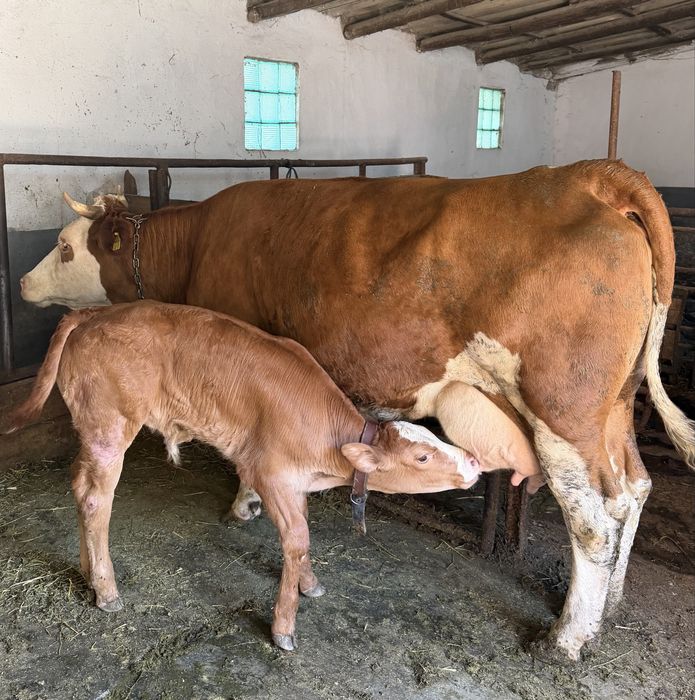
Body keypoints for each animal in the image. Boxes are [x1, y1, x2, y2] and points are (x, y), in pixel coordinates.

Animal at [5, 300, 481, 651]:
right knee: (95, 499)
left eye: (432, 436)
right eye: (422, 456)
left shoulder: (296, 482)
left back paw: (88, 573)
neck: (327, 446)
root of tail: (93, 312)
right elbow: (298, 539)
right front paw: (284, 627)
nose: (474, 462)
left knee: (77, 485)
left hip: (90, 429)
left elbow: (303, 539)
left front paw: (310, 584)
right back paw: (106, 590)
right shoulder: (269, 474)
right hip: (110, 425)